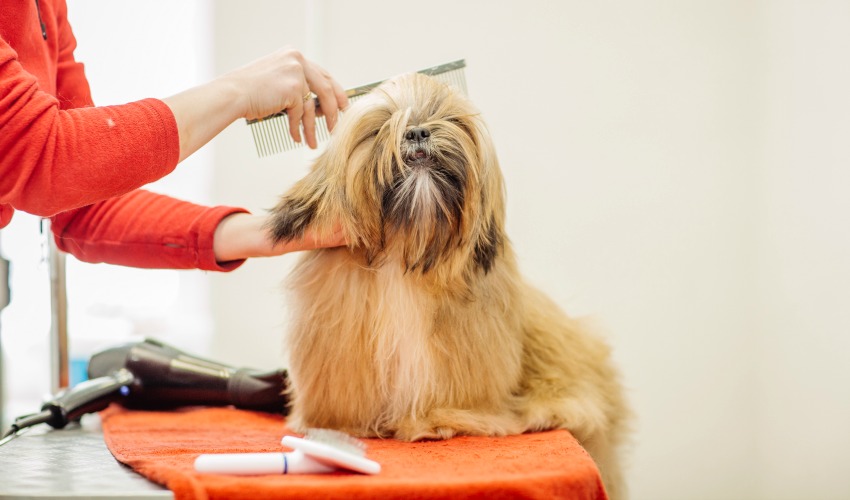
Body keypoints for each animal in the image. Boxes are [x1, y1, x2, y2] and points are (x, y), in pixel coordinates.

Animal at [268, 72, 628, 498]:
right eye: (381, 126)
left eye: (449, 119)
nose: (417, 132)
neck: (407, 248)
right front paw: (342, 431)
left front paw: (436, 421)